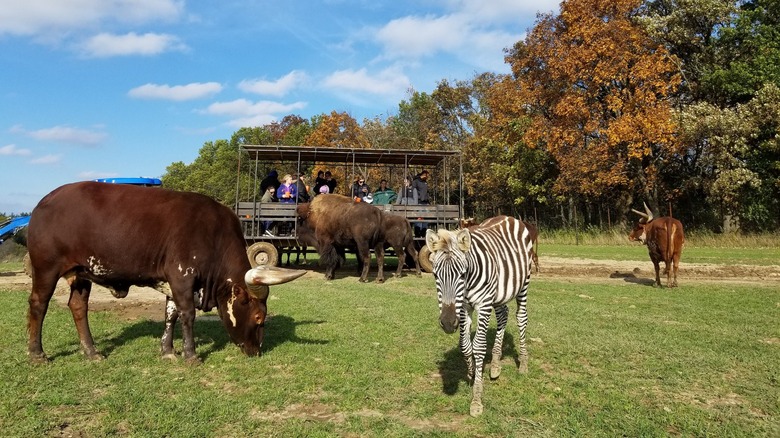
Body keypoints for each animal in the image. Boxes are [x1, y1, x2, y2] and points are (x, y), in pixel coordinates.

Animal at [25, 181, 304, 362]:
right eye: (258, 317)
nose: (256, 351)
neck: (213, 234)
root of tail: (43, 202)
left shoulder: (172, 281)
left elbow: (171, 314)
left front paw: (168, 351)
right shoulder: (182, 277)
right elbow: (187, 314)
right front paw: (191, 355)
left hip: (81, 273)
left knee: (78, 306)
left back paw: (92, 352)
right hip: (46, 268)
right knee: (39, 304)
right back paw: (37, 353)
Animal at [424, 216, 532, 418]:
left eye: (462, 274)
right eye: (435, 275)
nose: (448, 323)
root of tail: (508, 217)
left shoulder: (483, 304)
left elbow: (479, 347)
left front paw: (476, 399)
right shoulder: (464, 306)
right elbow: (465, 345)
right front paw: (473, 372)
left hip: (523, 283)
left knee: (521, 317)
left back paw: (523, 364)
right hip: (499, 294)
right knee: (503, 315)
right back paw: (496, 364)